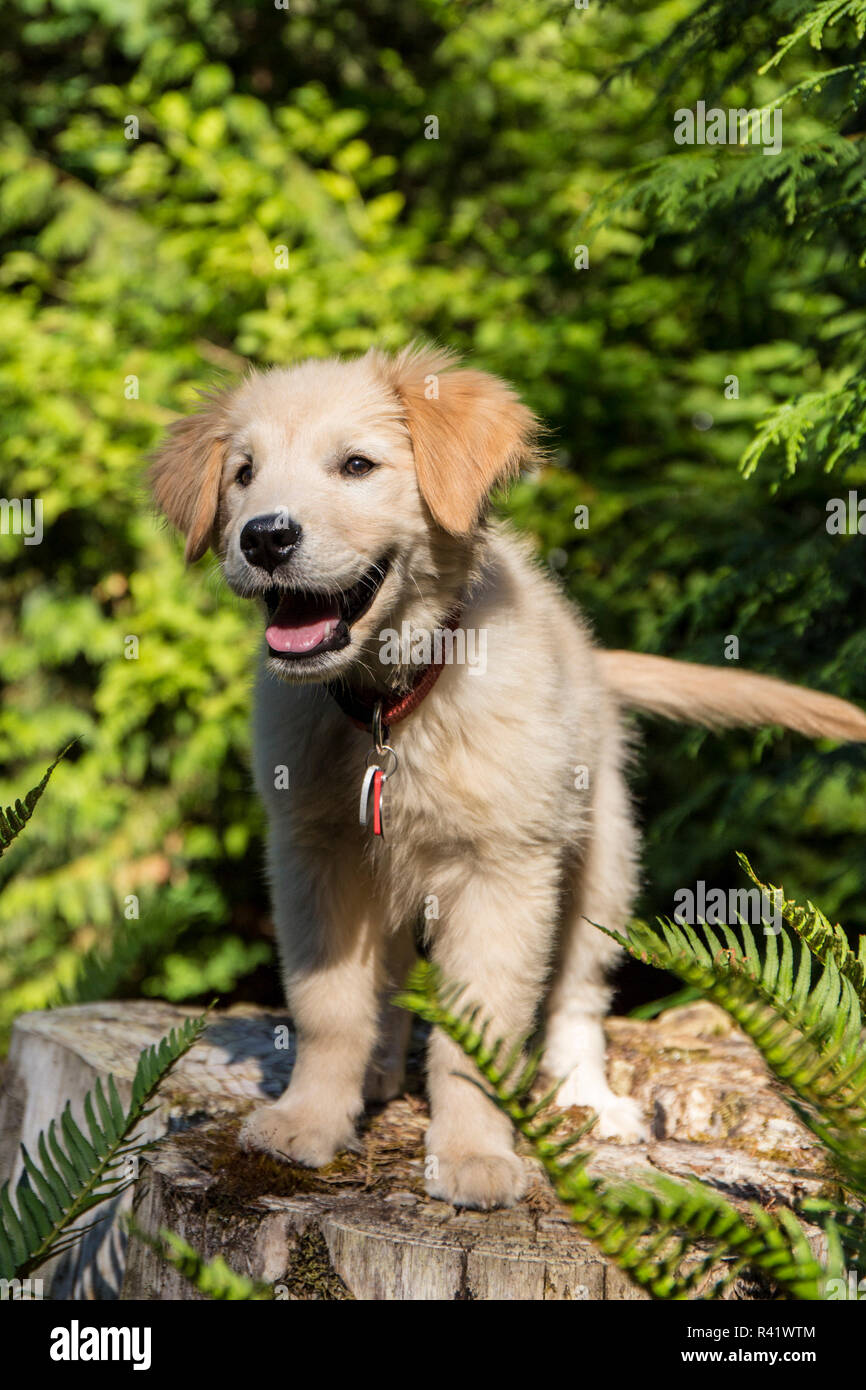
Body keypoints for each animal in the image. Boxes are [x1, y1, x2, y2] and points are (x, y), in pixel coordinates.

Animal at [150, 344, 866, 1206]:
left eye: (356, 466)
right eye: (244, 475)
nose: (264, 539)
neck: (394, 703)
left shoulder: (505, 871)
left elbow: (479, 1033)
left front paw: (471, 1154)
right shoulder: (315, 855)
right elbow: (330, 1007)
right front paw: (310, 1120)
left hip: (602, 857)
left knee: (579, 996)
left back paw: (589, 1096)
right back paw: (381, 1070)